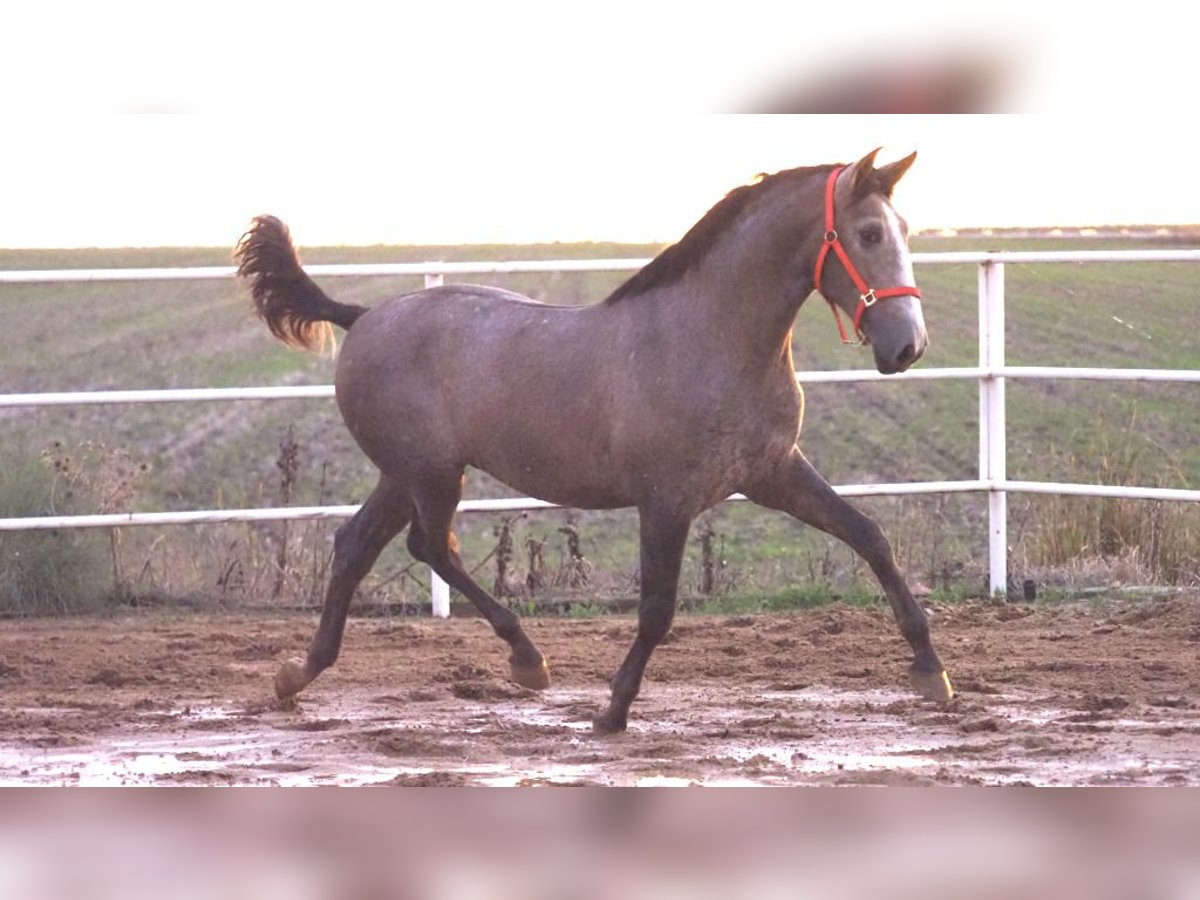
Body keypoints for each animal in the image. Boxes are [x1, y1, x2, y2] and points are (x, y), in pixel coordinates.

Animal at [236, 150, 955, 739]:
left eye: (904, 230)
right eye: (868, 234)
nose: (907, 347)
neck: (710, 338)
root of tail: (362, 317)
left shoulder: (774, 474)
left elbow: (870, 537)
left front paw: (932, 672)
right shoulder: (665, 502)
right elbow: (657, 610)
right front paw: (612, 711)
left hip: (408, 474)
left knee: (362, 545)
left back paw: (300, 674)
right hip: (429, 474)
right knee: (426, 546)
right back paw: (526, 660)